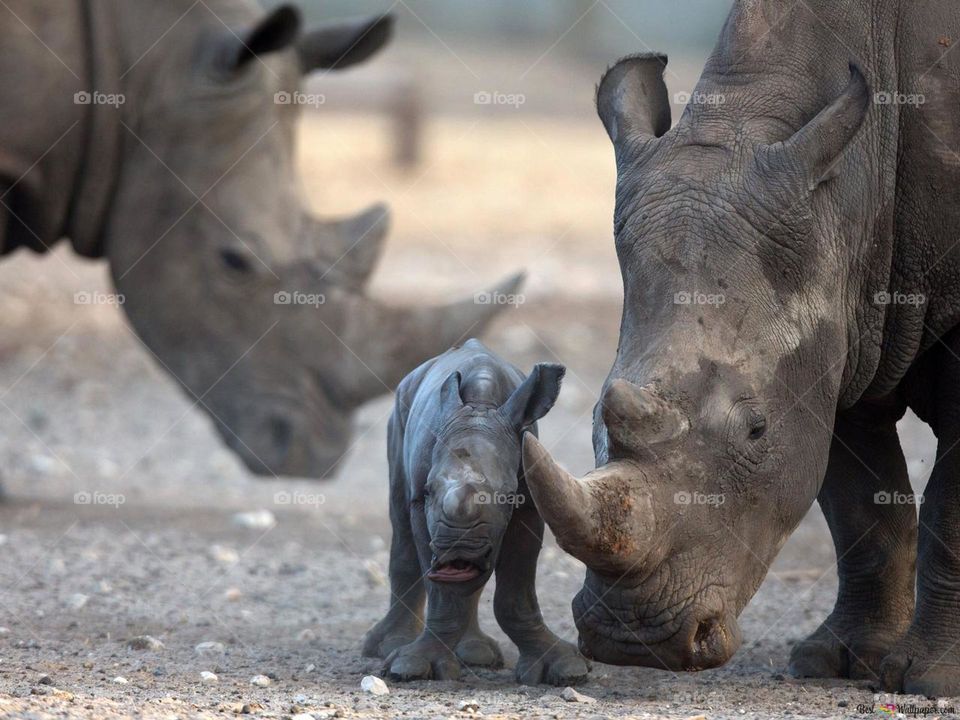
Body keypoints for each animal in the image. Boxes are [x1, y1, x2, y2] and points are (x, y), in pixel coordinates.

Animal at [522, 0, 960, 697]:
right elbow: (861, 507)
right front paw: (838, 662)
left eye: (755, 430)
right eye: (593, 417)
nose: (634, 640)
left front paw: (927, 680)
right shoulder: (836, 335)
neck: (851, 191)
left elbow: (949, 506)